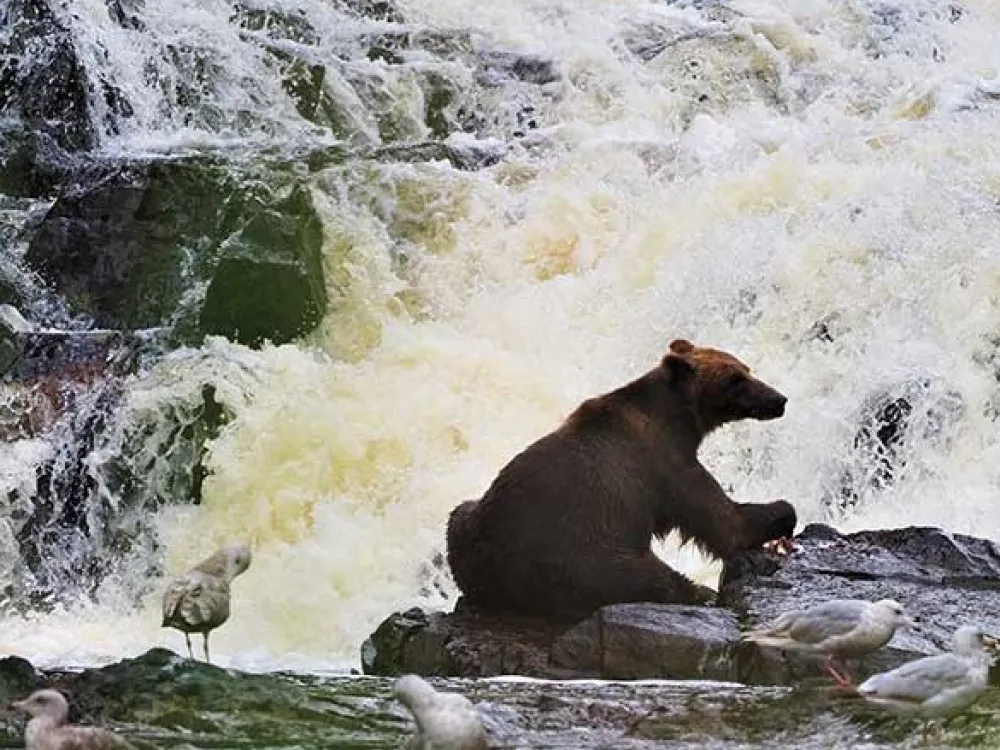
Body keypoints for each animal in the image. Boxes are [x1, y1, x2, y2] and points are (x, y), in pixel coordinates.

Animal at [446, 338, 797, 620]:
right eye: (735, 378)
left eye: (747, 369)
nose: (779, 399)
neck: (679, 418)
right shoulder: (665, 464)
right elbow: (724, 522)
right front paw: (782, 514)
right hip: (589, 552)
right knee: (650, 577)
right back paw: (701, 593)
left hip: (470, 526)